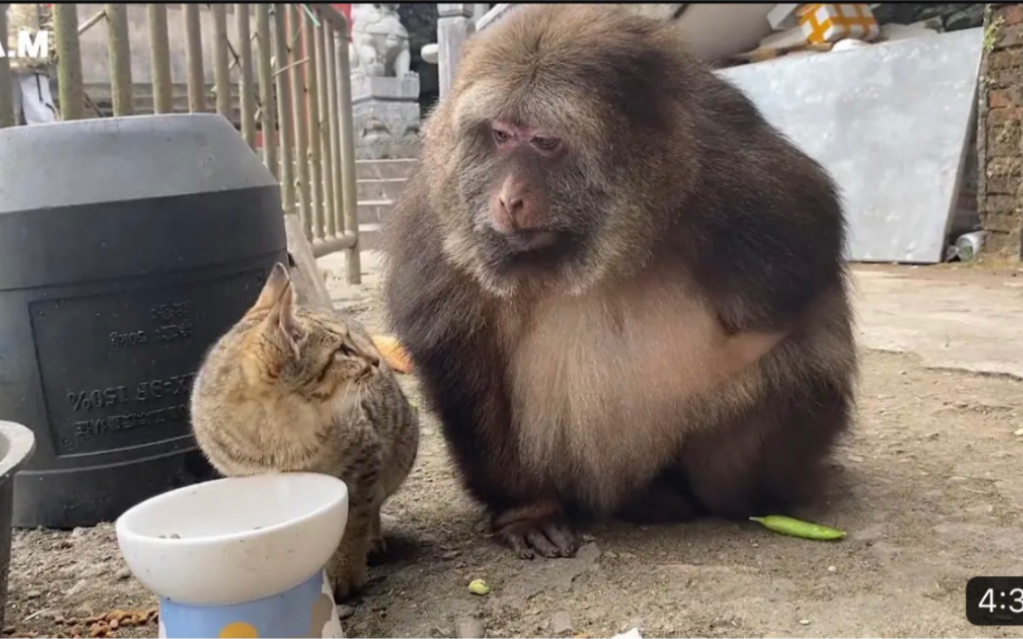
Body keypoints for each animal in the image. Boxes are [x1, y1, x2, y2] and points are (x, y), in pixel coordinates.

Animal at [190, 260, 417, 597]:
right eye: (343, 350)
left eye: (352, 342)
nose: (376, 359)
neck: (279, 437)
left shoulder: (364, 462)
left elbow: (354, 522)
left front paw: (346, 572)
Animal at [380, 2, 859, 556]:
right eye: (500, 135)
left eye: (544, 143)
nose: (509, 198)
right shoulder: (440, 215)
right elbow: (458, 348)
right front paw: (526, 508)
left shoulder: (726, 165)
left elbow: (806, 254)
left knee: (801, 347)